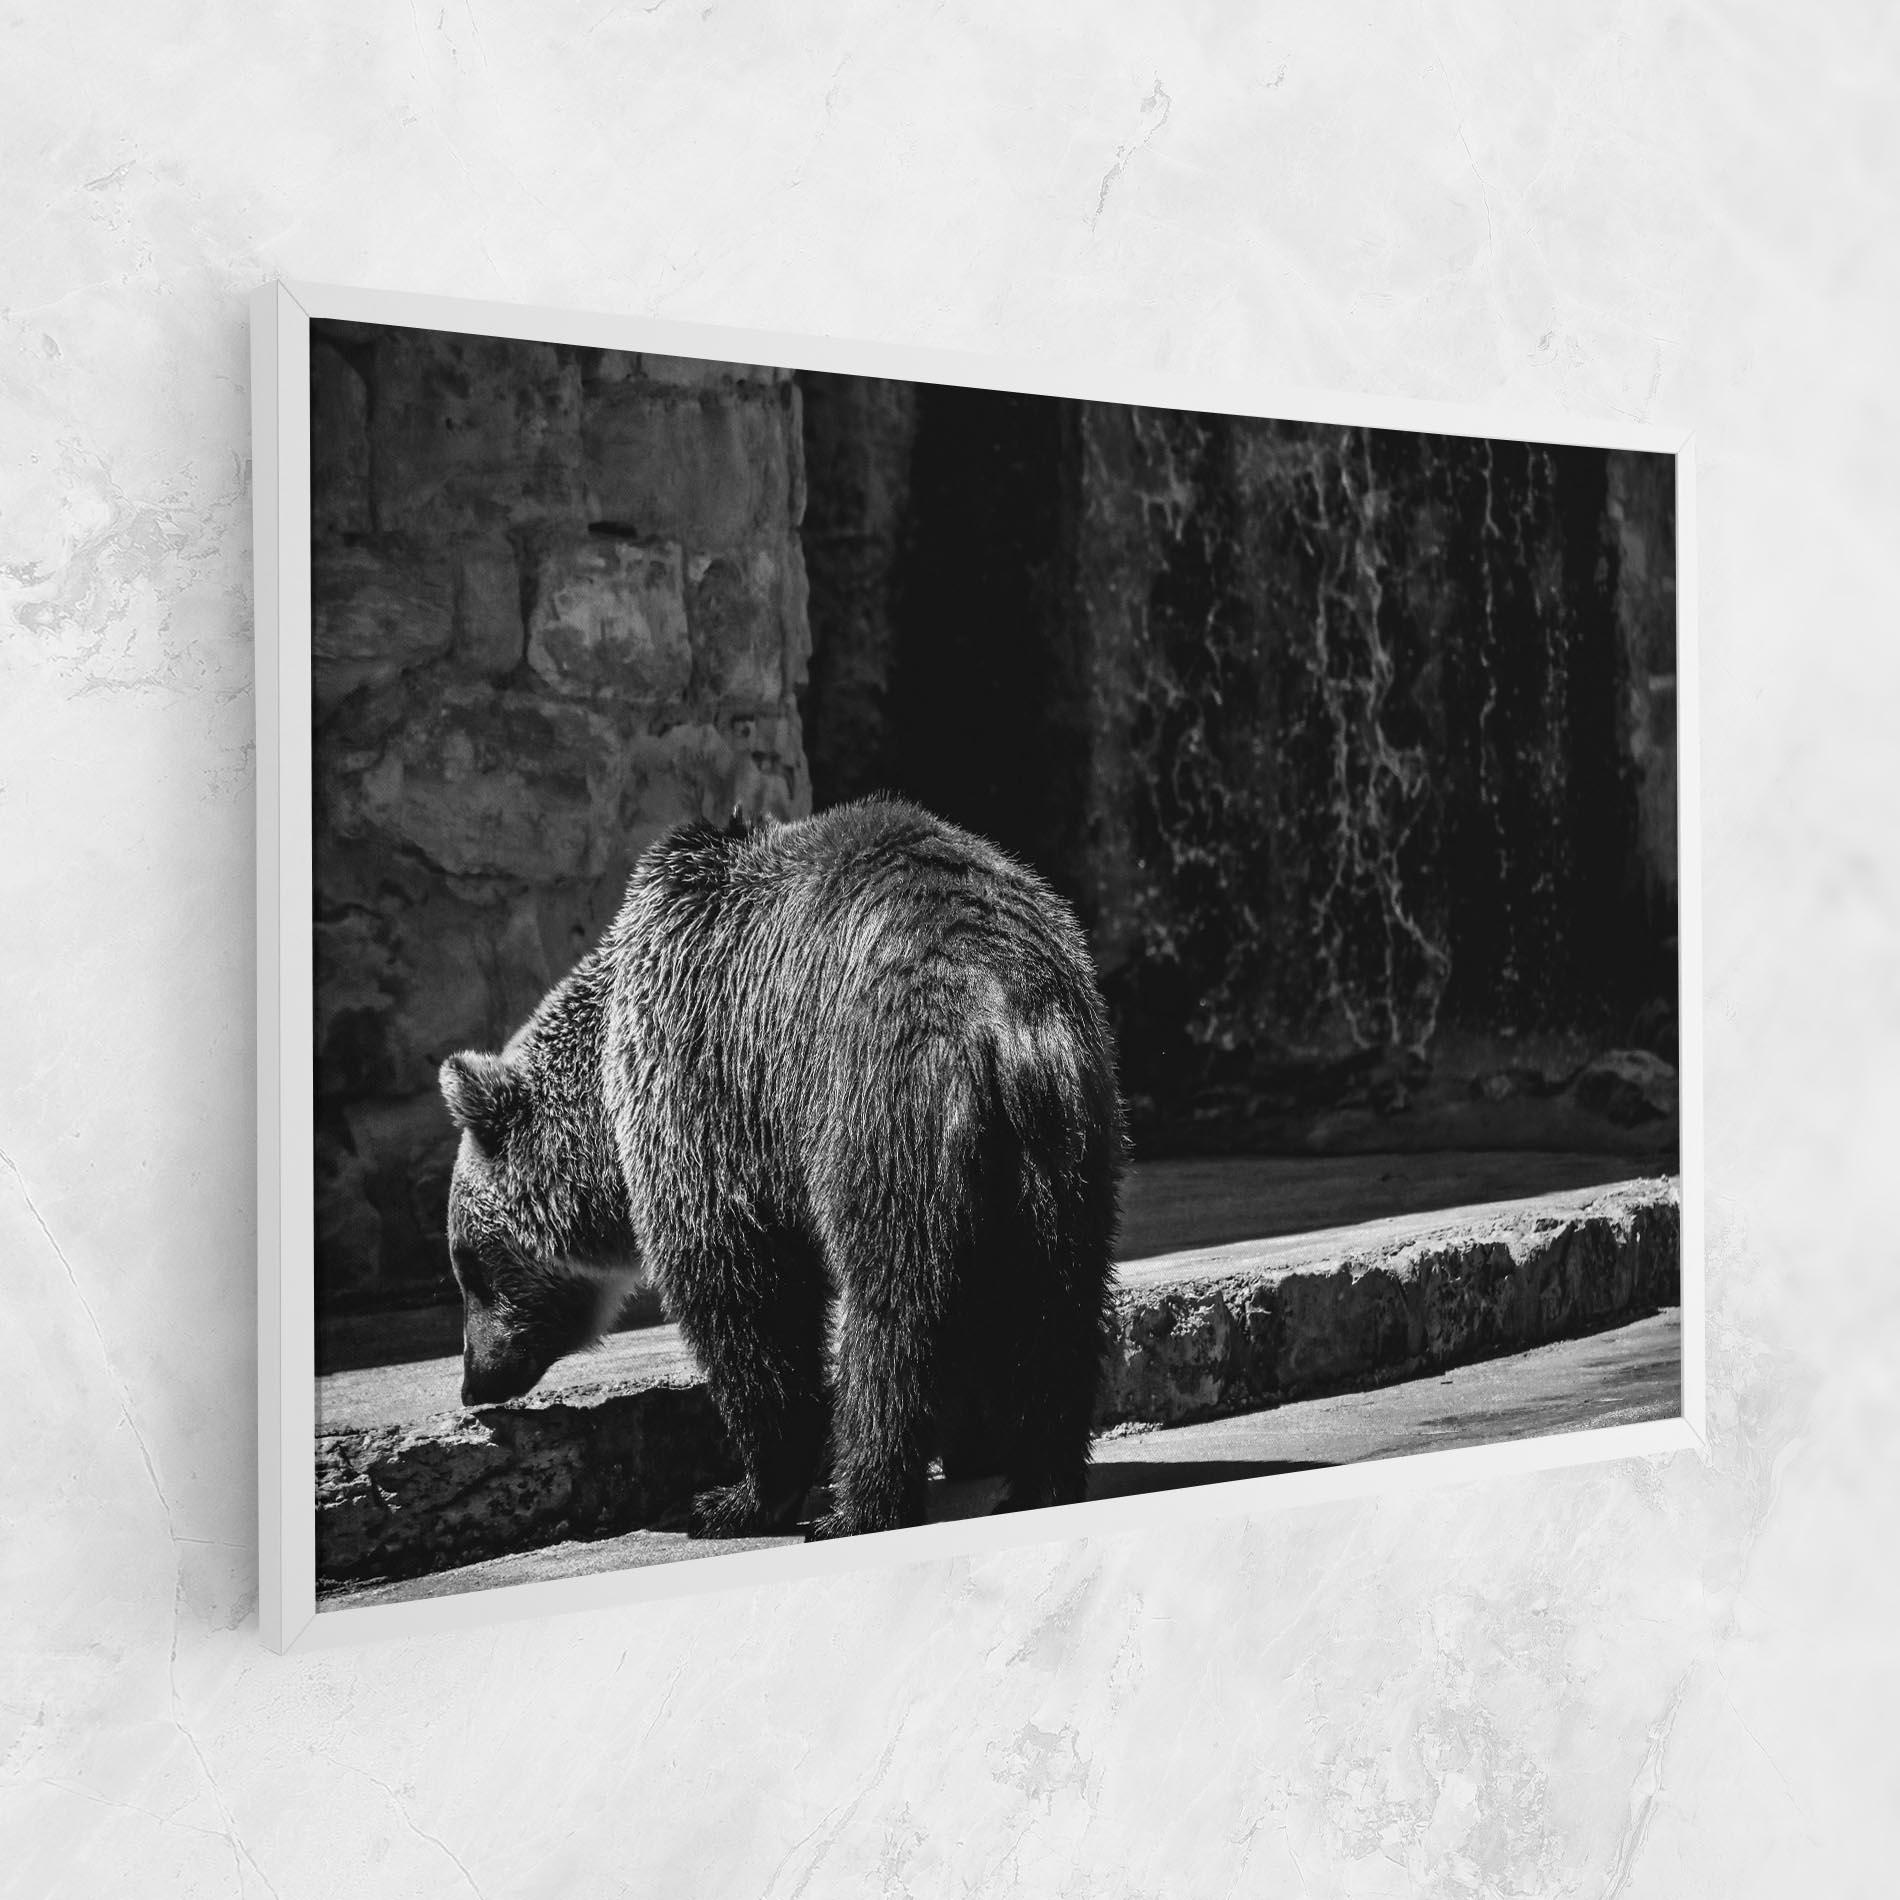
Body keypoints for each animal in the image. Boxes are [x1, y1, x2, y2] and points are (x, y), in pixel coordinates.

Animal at [437, 796, 1124, 1540]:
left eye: (470, 1266)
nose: (474, 1380)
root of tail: (1002, 1009)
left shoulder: (708, 1080)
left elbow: (744, 1293)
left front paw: (732, 1497)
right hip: (1068, 1137)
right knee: (1057, 1299)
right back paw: (1040, 1480)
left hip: (882, 1103)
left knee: (894, 1310)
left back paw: (861, 1505)